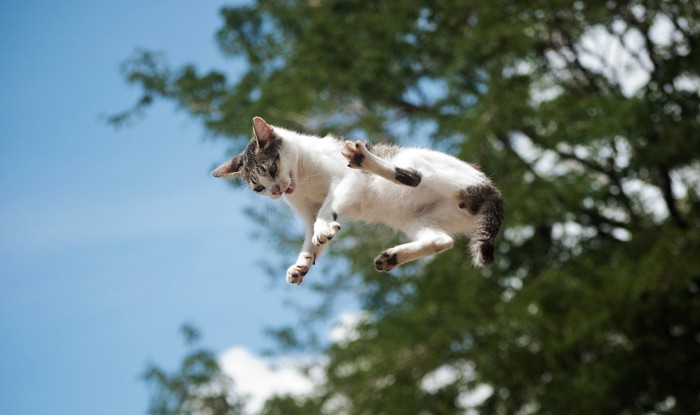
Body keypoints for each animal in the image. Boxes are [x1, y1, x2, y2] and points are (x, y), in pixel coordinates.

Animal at [213, 117, 504, 286]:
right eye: (258, 188)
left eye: (273, 168)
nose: (275, 191)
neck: (304, 179)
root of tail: (491, 189)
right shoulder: (307, 213)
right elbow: (311, 240)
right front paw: (302, 263)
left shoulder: (347, 182)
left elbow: (327, 208)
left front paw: (323, 228)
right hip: (416, 219)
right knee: (442, 241)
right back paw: (391, 257)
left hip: (415, 159)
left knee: (414, 177)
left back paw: (363, 158)